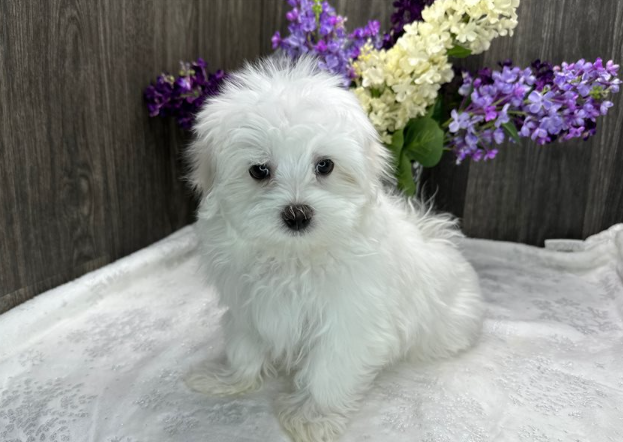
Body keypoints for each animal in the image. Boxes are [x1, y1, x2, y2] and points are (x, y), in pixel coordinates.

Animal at [184, 56, 482, 442]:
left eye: (324, 165)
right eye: (259, 170)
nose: (297, 213)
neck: (295, 256)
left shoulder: (349, 319)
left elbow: (330, 369)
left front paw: (314, 416)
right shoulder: (248, 306)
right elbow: (243, 347)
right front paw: (228, 379)